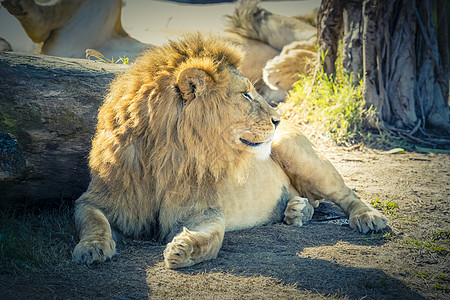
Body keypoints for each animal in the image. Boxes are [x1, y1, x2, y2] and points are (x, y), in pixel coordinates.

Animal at [71, 34, 386, 268]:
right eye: (245, 94)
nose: (278, 119)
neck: (166, 156)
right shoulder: (99, 198)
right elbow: (94, 220)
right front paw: (92, 248)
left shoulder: (204, 208)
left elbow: (214, 238)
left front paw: (184, 248)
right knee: (309, 199)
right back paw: (297, 209)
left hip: (297, 153)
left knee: (347, 194)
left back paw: (369, 218)